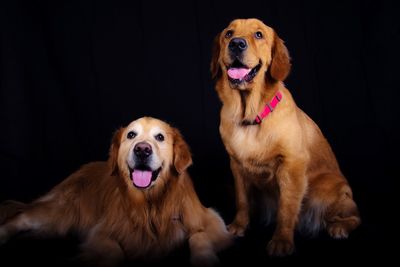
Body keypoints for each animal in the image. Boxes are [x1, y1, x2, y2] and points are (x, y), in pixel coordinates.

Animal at [211, 18, 360, 258]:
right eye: (229, 34)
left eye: (259, 34)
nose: (236, 44)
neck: (251, 115)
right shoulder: (236, 165)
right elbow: (242, 200)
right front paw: (239, 226)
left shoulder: (292, 166)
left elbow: (287, 208)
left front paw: (281, 241)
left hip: (329, 191)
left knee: (355, 216)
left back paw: (339, 227)